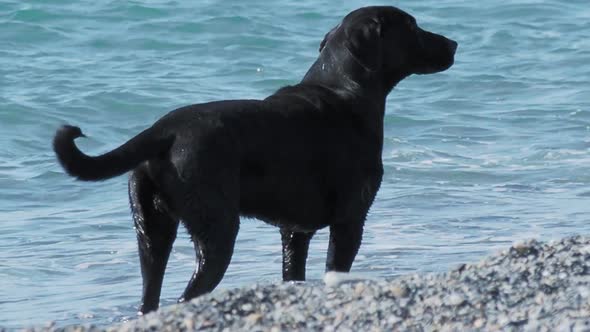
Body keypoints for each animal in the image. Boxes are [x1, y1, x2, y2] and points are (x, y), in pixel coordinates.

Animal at [54, 7, 458, 314]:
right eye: (412, 26)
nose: (454, 42)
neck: (345, 88)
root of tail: (162, 130)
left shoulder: (295, 231)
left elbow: (293, 273)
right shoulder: (349, 220)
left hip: (151, 232)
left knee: (150, 295)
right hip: (217, 230)